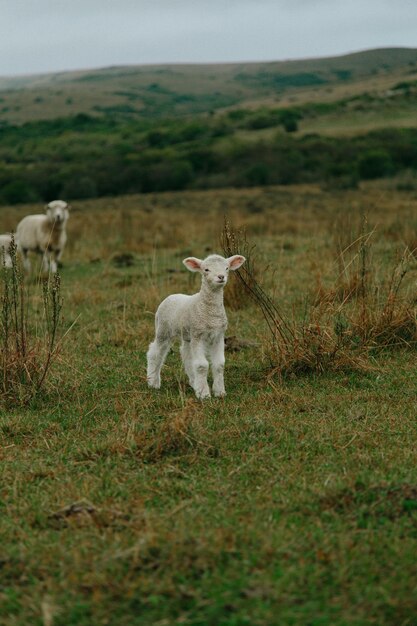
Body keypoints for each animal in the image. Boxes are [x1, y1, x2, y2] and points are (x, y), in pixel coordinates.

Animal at [146, 251, 244, 398]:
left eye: (227, 268)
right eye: (206, 270)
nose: (221, 277)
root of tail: (171, 295)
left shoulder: (218, 335)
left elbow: (219, 364)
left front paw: (220, 392)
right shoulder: (198, 334)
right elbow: (202, 365)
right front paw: (204, 394)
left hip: (187, 334)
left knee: (186, 355)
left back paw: (193, 382)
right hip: (163, 329)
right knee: (155, 353)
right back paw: (153, 382)